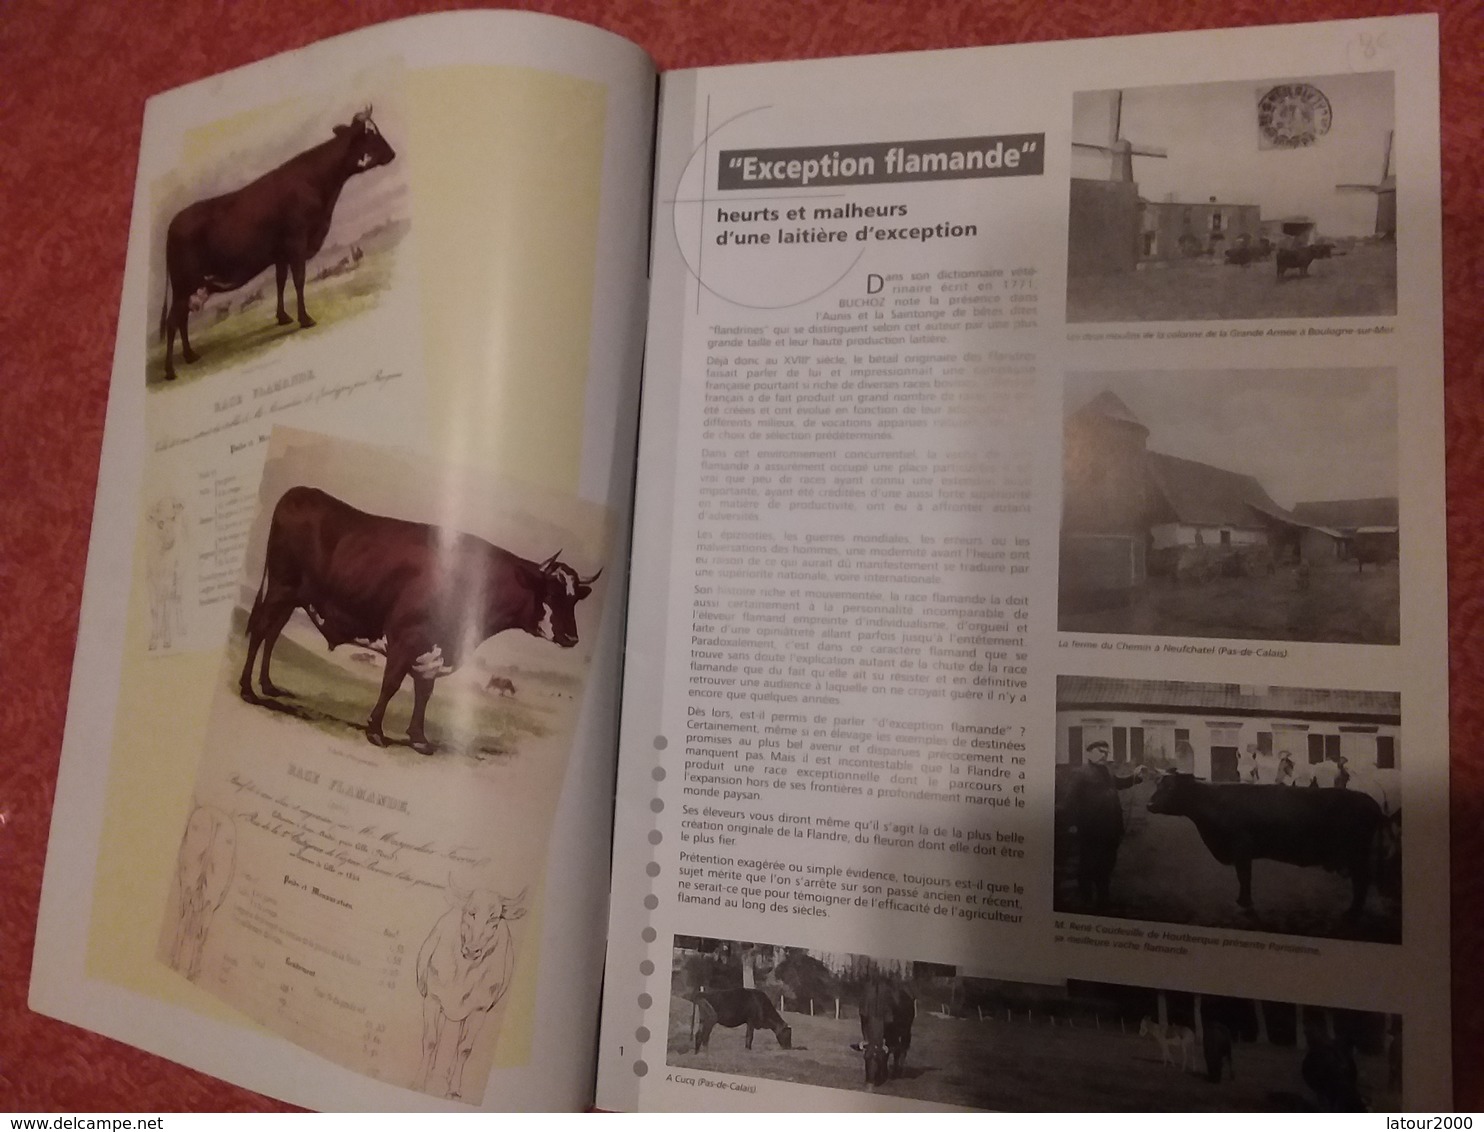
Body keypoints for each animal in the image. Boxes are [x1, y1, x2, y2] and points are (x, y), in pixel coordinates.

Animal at [160, 106, 397, 379]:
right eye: (369, 134)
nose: (393, 153)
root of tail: (174, 222)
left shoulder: (281, 253)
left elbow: (280, 282)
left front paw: (283, 317)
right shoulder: (296, 243)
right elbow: (299, 281)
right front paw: (305, 319)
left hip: (189, 286)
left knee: (182, 318)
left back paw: (190, 356)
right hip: (183, 283)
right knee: (174, 321)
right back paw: (170, 370)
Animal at [237, 483, 596, 756]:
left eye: (575, 599)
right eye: (550, 593)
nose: (572, 638)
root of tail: (299, 491)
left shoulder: (433, 651)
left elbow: (424, 692)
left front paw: (419, 738)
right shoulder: (406, 639)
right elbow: (392, 685)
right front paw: (376, 730)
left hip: (293, 598)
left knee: (273, 633)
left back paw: (268, 685)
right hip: (280, 588)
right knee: (260, 630)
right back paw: (248, 690)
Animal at [418, 884, 528, 1097]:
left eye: (494, 918)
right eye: (471, 912)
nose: (472, 950)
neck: (463, 973)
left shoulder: (479, 1010)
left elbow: (464, 1048)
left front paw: (453, 1090)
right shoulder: (433, 1000)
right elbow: (431, 1040)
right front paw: (421, 1081)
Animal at [1139, 777, 1383, 913]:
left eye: (1171, 789)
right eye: (1158, 786)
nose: (1149, 804)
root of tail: (1371, 802)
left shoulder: (1241, 848)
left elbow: (1244, 876)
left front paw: (1245, 903)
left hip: (1357, 854)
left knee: (1362, 880)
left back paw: (1352, 912)